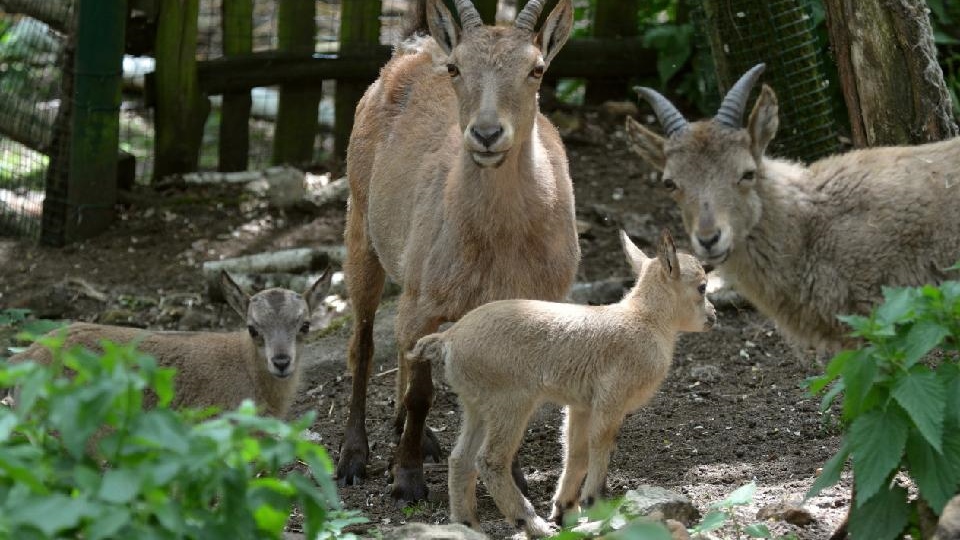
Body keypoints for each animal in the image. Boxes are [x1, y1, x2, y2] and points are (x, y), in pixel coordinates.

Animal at [338, 0, 576, 502]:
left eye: (537, 68)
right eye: (456, 67)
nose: (486, 134)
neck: (501, 243)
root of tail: (411, 46)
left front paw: (515, 478)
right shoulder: (425, 301)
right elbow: (423, 393)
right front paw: (407, 480)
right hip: (361, 225)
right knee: (364, 343)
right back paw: (355, 456)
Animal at [408, 230, 716, 536]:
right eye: (702, 287)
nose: (712, 315)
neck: (645, 320)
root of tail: (448, 340)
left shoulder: (581, 405)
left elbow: (575, 451)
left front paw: (565, 510)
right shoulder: (611, 397)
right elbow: (600, 442)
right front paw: (593, 505)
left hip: (476, 405)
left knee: (460, 459)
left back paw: (469, 525)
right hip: (509, 402)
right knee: (490, 460)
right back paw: (532, 524)